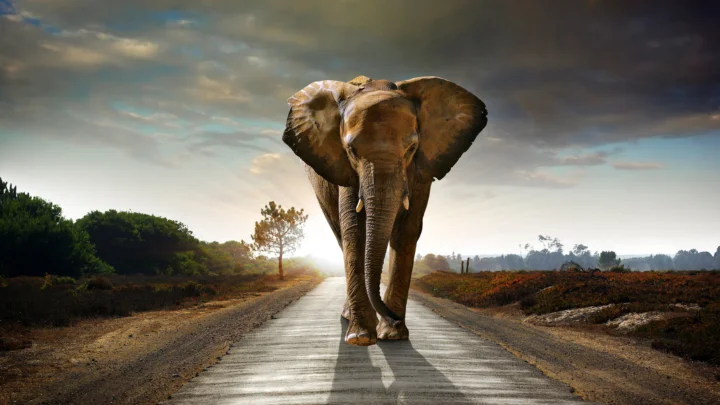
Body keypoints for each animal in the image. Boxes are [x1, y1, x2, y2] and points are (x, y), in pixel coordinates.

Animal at [282, 75, 487, 346]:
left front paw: (393, 335)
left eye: (412, 148)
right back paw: (350, 318)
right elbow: (355, 231)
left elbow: (407, 231)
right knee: (340, 235)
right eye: (351, 150)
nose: (394, 318)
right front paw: (361, 337)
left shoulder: (421, 170)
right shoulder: (345, 170)